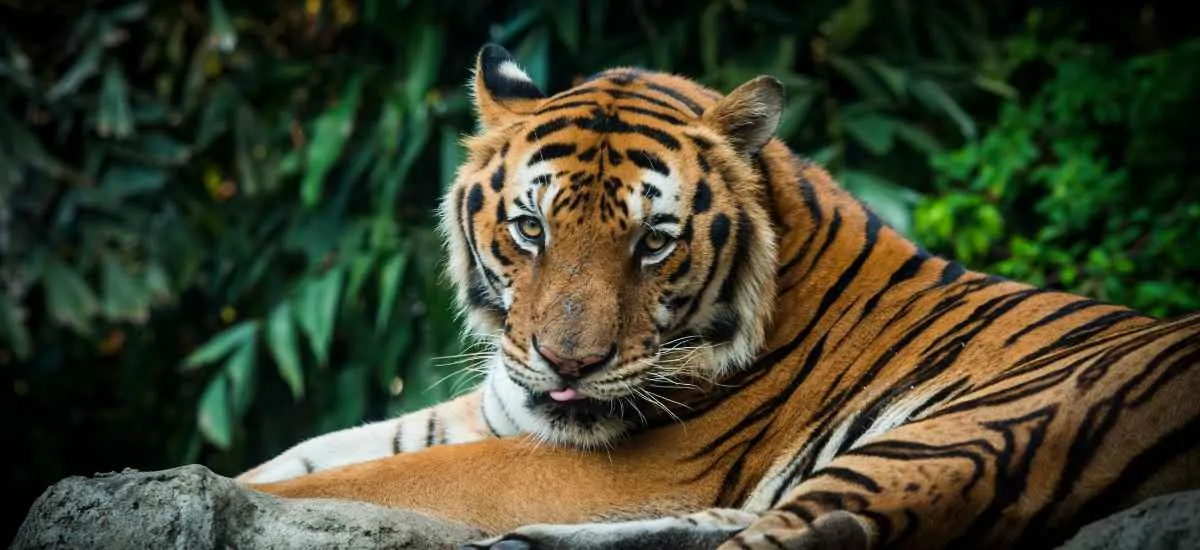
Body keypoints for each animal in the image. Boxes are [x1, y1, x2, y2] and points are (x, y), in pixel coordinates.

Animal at [237, 44, 1200, 550]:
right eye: (532, 229)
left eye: (653, 242)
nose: (568, 364)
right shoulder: (502, 407)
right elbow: (311, 456)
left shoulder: (624, 463)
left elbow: (375, 476)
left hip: (970, 426)